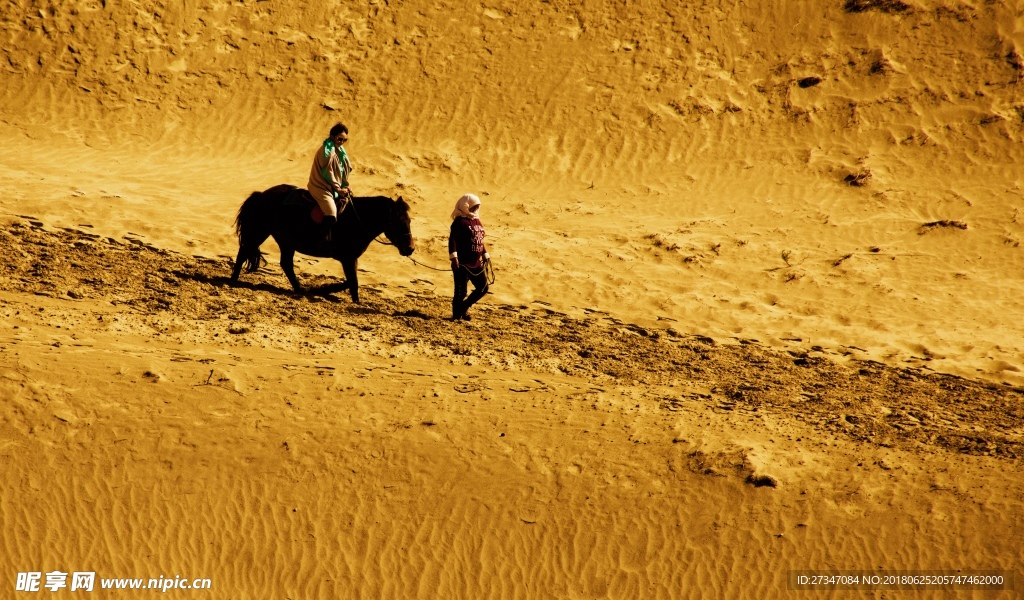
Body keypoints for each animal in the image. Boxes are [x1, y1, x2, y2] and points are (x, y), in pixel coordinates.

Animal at [230, 183, 413, 303]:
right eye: (399, 222)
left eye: (409, 221)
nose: (410, 249)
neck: (356, 219)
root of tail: (261, 195)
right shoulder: (347, 258)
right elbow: (353, 282)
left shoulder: (351, 259)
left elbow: (352, 282)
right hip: (260, 232)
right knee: (243, 252)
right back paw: (233, 281)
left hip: (286, 242)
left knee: (286, 264)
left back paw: (299, 289)